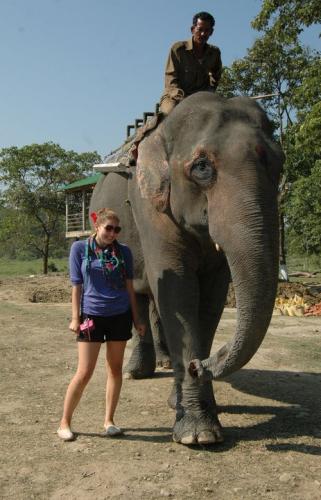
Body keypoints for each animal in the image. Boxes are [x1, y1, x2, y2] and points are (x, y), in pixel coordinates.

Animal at [90, 93, 282, 446]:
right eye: (202, 167)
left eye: (280, 163)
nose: (197, 365)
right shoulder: (149, 207)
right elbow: (178, 289)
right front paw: (199, 435)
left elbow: (210, 298)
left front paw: (185, 407)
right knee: (138, 295)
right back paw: (137, 372)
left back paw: (165, 363)